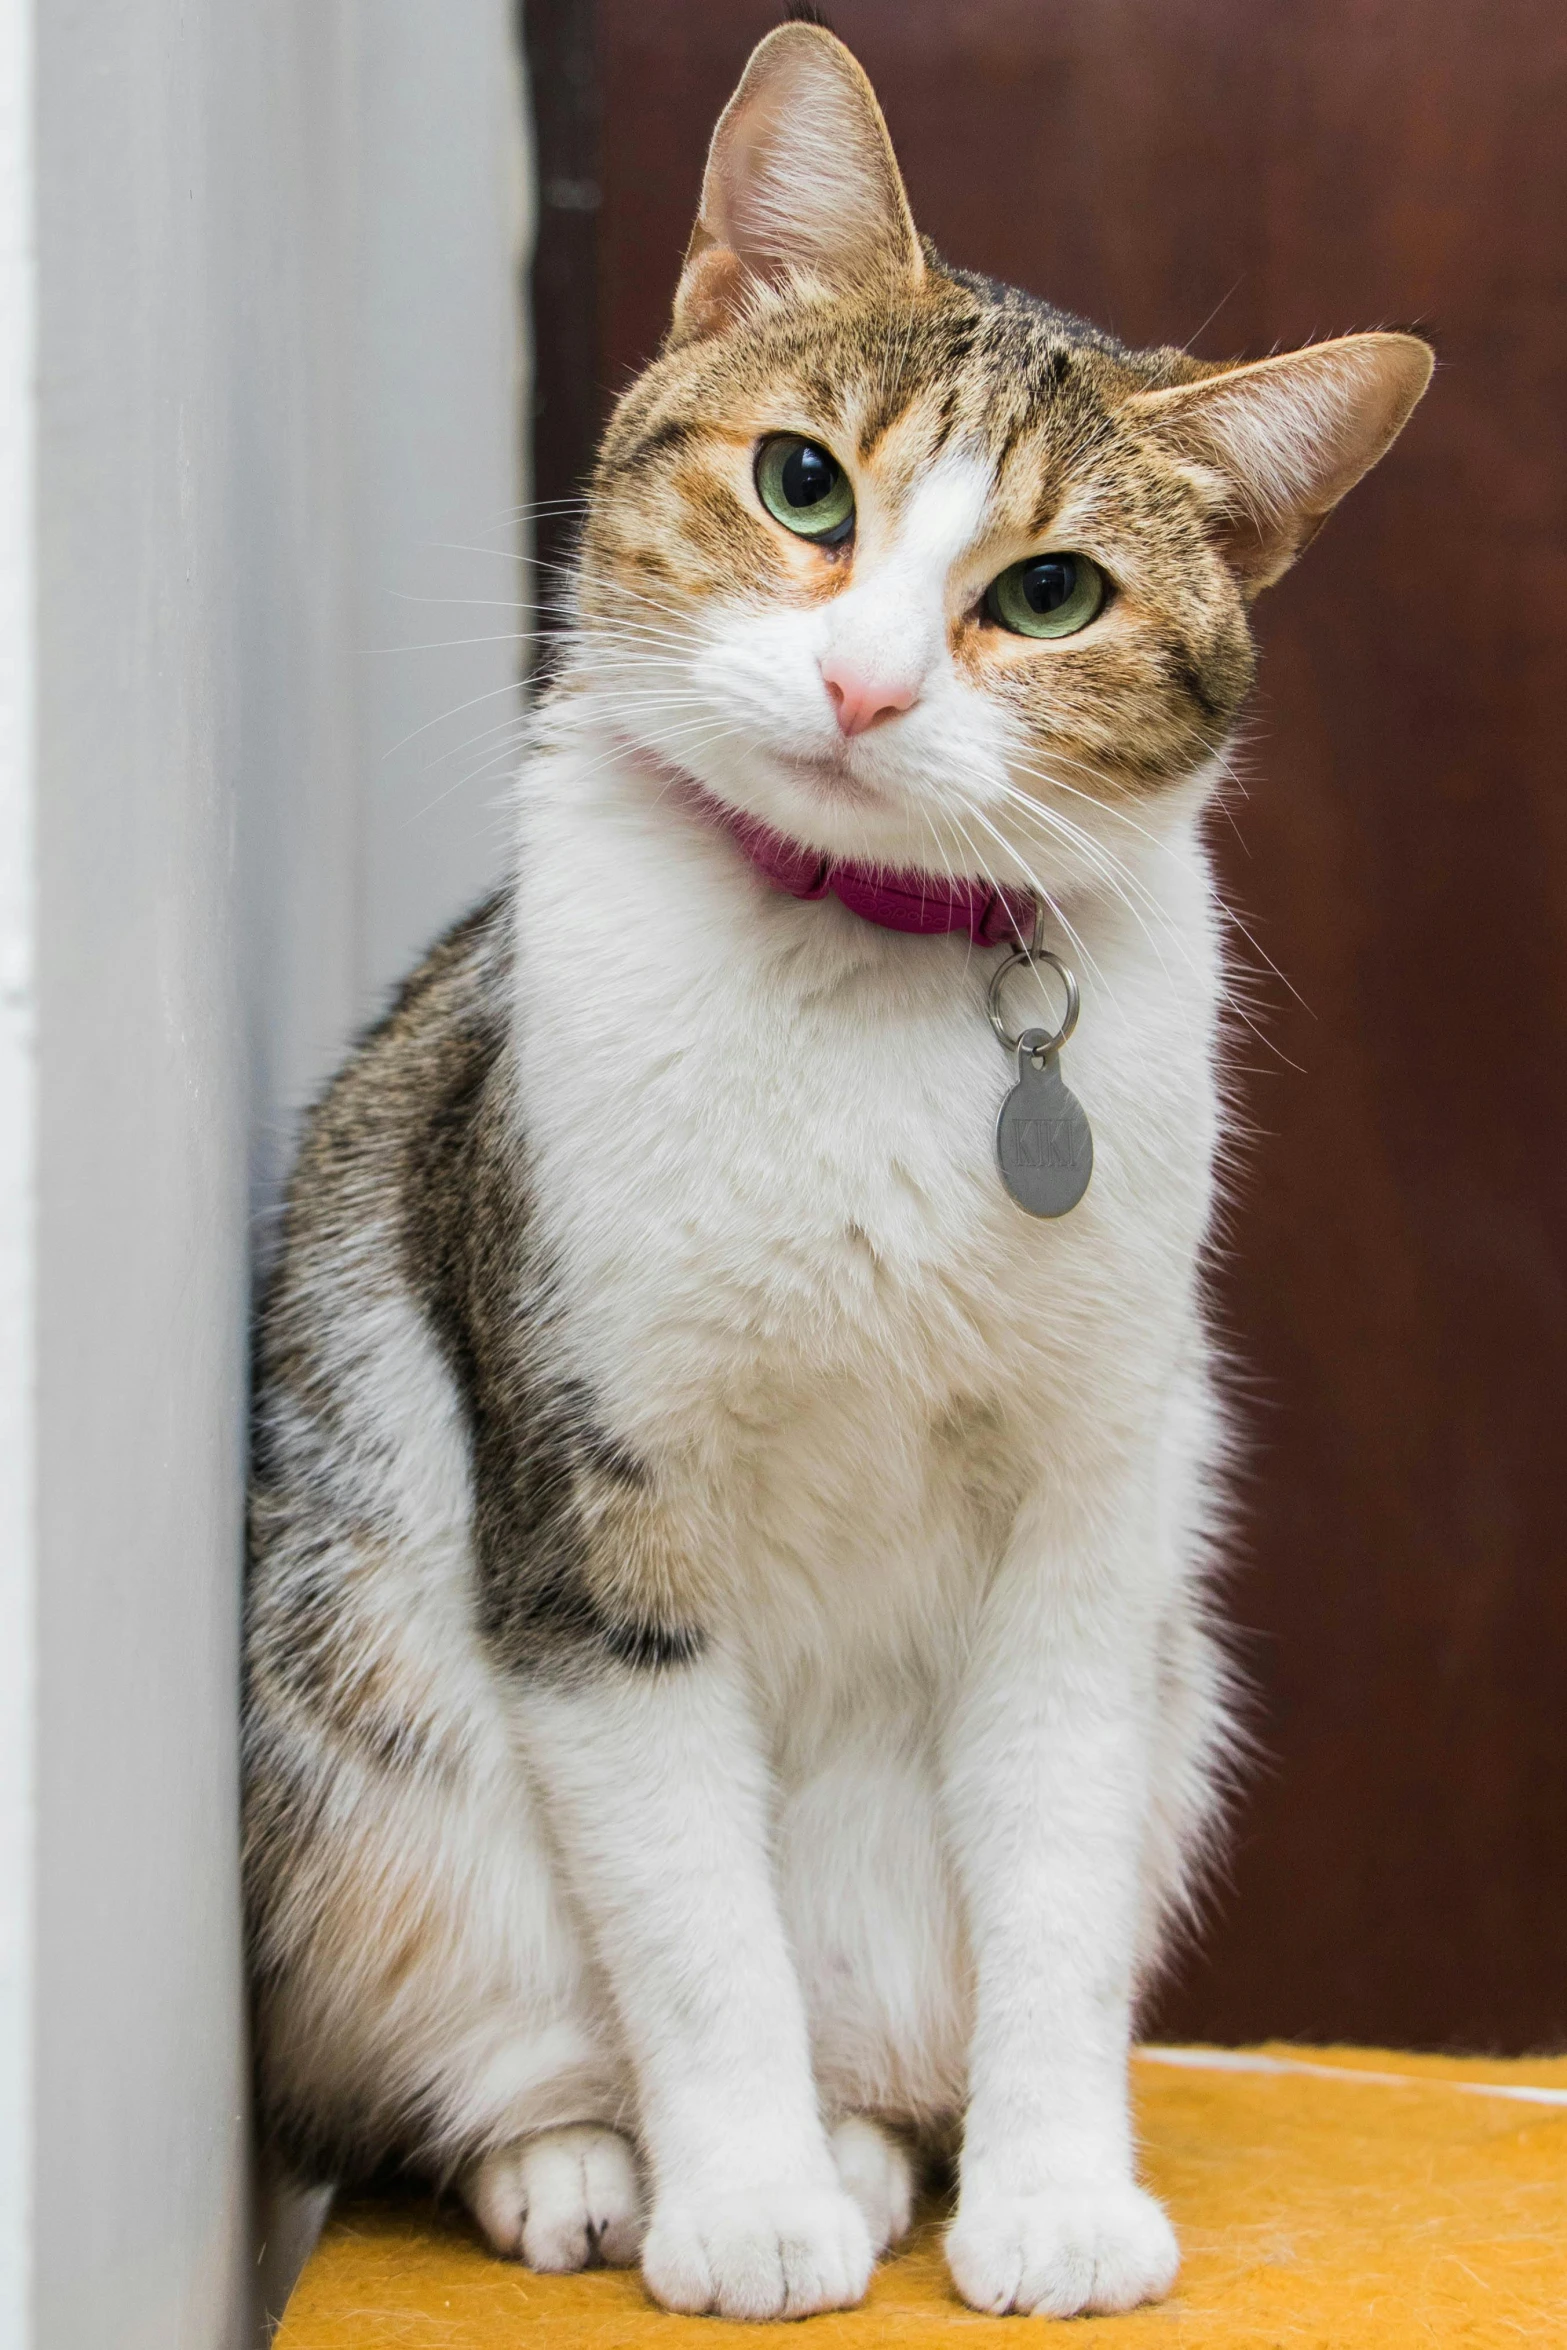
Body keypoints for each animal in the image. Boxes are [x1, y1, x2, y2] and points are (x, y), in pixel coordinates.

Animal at [239, 18, 1428, 2321]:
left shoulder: (1088, 1504)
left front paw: (1049, 2192)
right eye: (805, 482)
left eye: (1050, 593)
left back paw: (881, 2141)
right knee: (494, 2032)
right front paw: (744, 2200)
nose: (868, 685)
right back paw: (595, 2164)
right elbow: (695, 1924)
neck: (867, 979)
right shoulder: (595, 1504)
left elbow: (1051, 1881)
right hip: (365, 1765)